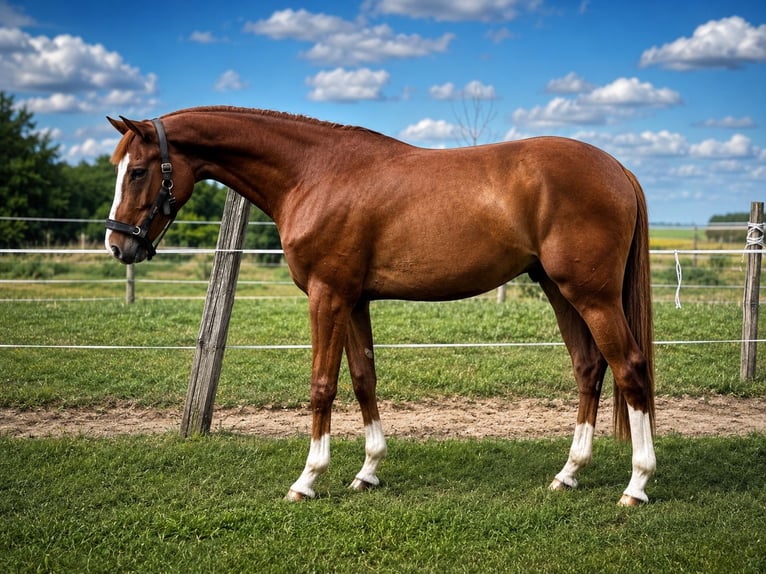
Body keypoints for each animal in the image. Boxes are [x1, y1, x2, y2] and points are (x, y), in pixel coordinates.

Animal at [105, 106, 656, 505]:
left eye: (138, 171)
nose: (118, 245)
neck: (314, 174)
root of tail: (618, 168)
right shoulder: (354, 300)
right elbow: (363, 378)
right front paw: (368, 471)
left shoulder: (327, 295)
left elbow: (322, 386)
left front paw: (308, 479)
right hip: (559, 290)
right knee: (589, 368)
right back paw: (569, 474)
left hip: (592, 295)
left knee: (630, 368)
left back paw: (637, 485)